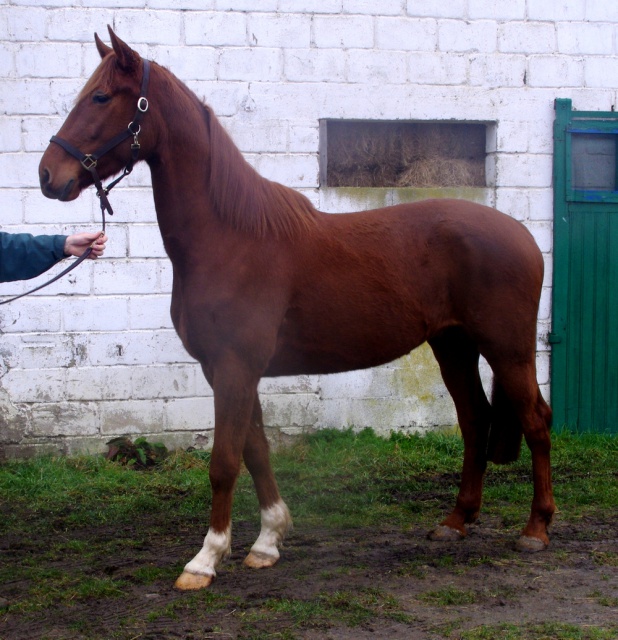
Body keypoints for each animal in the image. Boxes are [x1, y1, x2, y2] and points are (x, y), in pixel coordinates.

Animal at [38, 28, 552, 592]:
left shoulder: (236, 367)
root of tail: (523, 235)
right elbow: (256, 451)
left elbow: (224, 461)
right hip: (454, 346)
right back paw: (456, 521)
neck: (231, 238)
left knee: (536, 420)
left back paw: (536, 530)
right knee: (475, 420)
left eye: (101, 97)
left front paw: (205, 559)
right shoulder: (228, 369)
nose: (48, 174)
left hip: (507, 349)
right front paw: (267, 542)